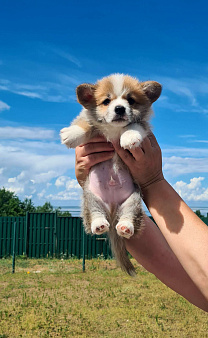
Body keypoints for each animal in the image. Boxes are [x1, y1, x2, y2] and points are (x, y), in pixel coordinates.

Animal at [60, 74, 161, 274]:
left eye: (131, 100)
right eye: (106, 101)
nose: (120, 108)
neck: (114, 130)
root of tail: (113, 210)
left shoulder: (143, 125)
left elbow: (135, 125)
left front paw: (129, 137)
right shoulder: (90, 123)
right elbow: (84, 124)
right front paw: (71, 134)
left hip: (132, 200)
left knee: (129, 216)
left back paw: (125, 227)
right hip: (90, 198)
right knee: (95, 214)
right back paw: (99, 224)